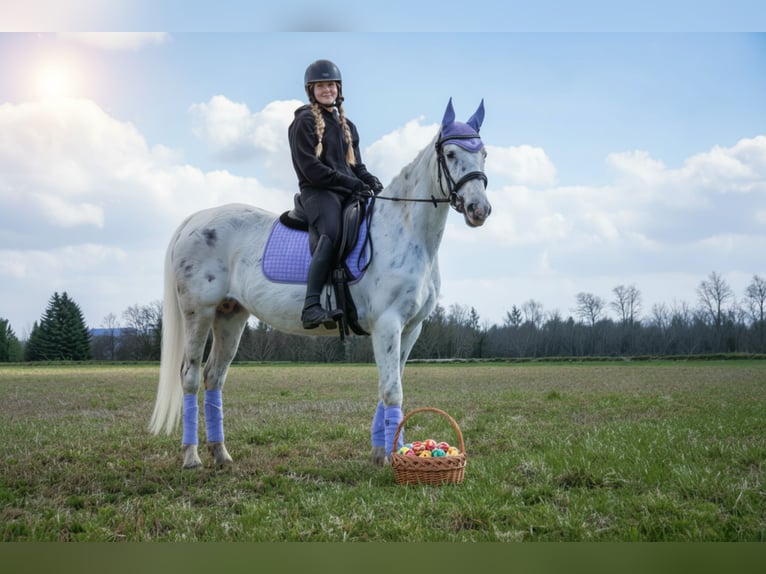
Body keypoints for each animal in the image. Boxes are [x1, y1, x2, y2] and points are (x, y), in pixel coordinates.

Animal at [149, 98, 492, 469]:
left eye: (484, 153)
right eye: (451, 154)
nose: (479, 209)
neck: (406, 232)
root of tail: (195, 219)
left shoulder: (411, 328)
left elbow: (392, 384)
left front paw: (380, 453)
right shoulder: (388, 324)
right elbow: (392, 390)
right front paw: (391, 458)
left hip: (231, 315)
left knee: (214, 377)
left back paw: (221, 454)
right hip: (198, 313)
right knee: (190, 376)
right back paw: (191, 457)